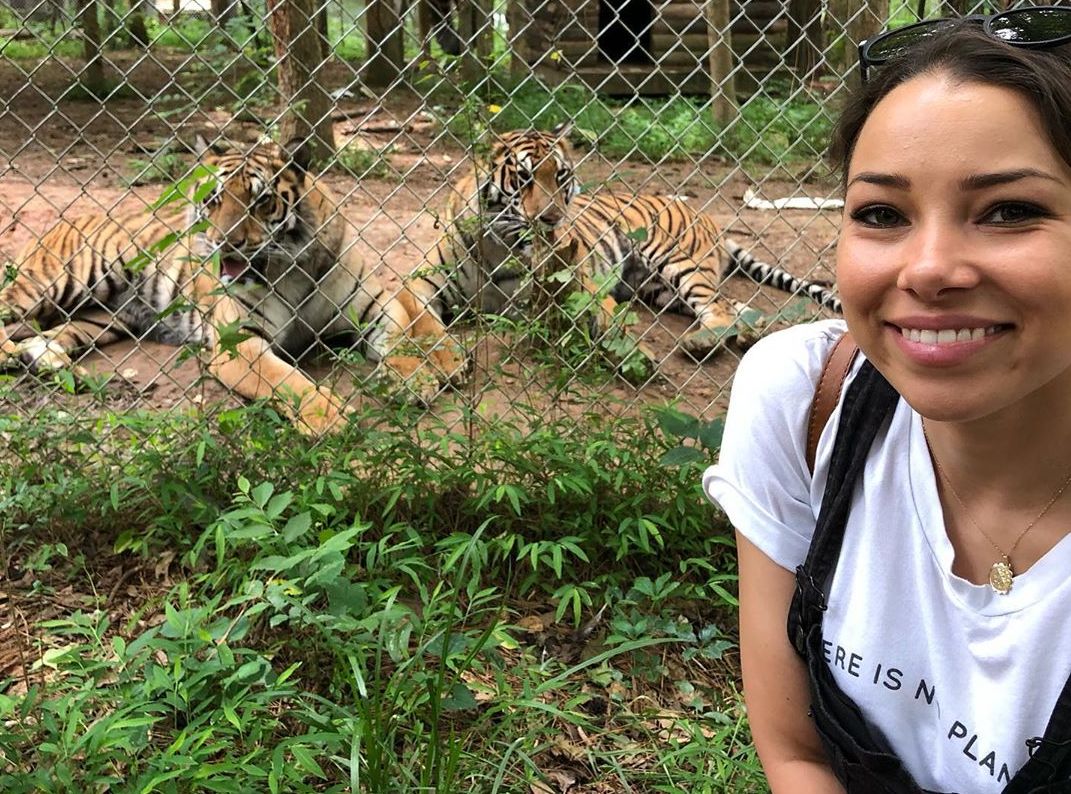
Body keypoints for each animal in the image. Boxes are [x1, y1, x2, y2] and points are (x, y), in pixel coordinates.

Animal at [1, 138, 469, 432]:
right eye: (213, 200)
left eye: (261, 201)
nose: (224, 241)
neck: (290, 268)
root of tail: (64, 220)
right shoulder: (236, 343)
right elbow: (287, 380)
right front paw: (327, 418)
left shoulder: (372, 302)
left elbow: (405, 331)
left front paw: (415, 378)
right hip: (60, 281)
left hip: (101, 319)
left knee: (47, 336)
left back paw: (53, 363)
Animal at [404, 127, 839, 362]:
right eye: (524, 178)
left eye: (561, 176)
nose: (552, 219)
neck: (499, 245)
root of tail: (706, 216)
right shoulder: (420, 284)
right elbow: (419, 322)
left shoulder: (573, 280)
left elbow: (606, 314)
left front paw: (632, 353)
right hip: (660, 289)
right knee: (734, 307)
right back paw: (750, 332)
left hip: (677, 261)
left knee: (717, 308)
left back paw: (701, 343)